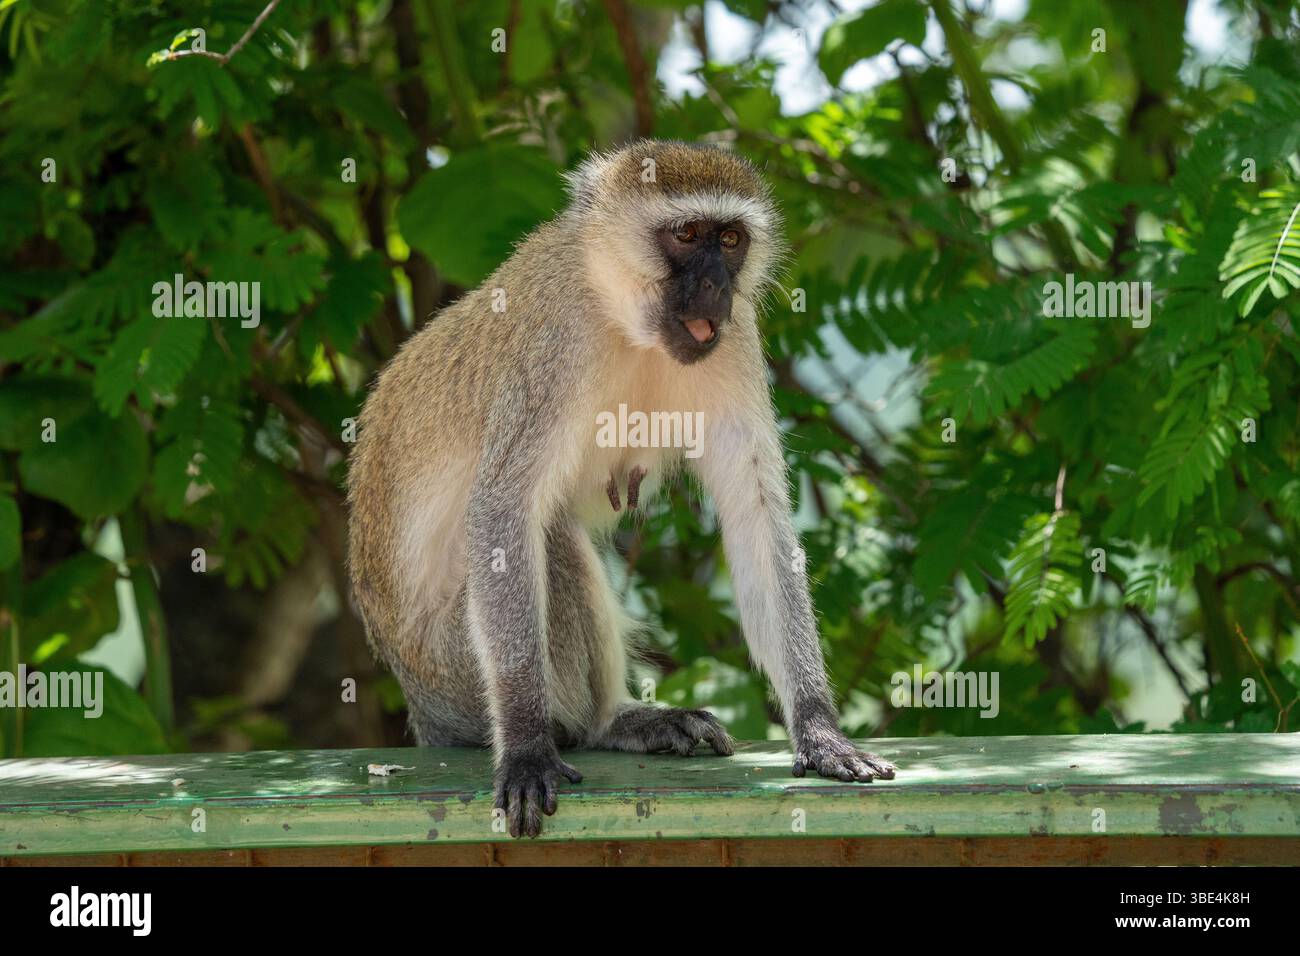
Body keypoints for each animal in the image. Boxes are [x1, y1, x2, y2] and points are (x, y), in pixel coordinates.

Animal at [347, 140, 897, 838]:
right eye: (686, 235)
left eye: (730, 239)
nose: (717, 286)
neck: (621, 315)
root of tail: (421, 704)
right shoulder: (551, 343)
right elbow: (502, 509)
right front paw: (525, 746)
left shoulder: (734, 337)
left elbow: (755, 513)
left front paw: (819, 728)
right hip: (454, 673)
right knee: (550, 544)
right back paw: (589, 725)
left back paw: (623, 722)